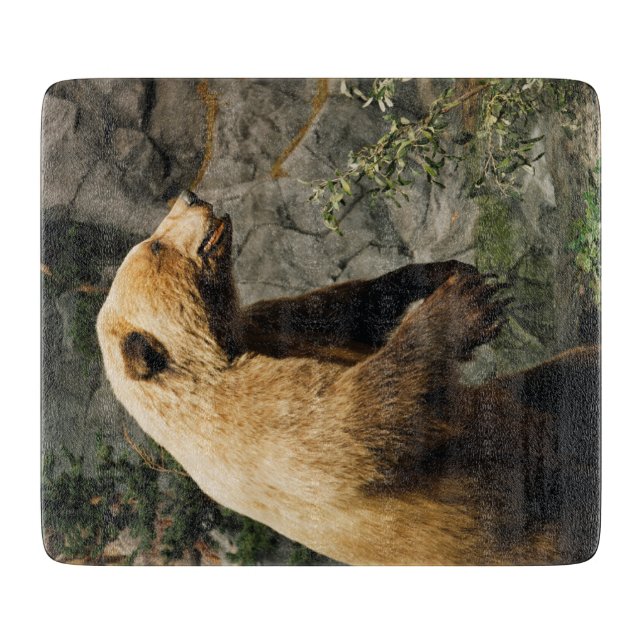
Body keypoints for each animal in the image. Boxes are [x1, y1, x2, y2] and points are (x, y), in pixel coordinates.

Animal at [96, 190, 600, 565]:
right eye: (155, 246)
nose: (189, 194)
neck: (214, 351)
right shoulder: (255, 424)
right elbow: (370, 418)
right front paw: (466, 307)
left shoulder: (265, 328)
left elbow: (339, 313)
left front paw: (439, 273)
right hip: (521, 526)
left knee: (557, 381)